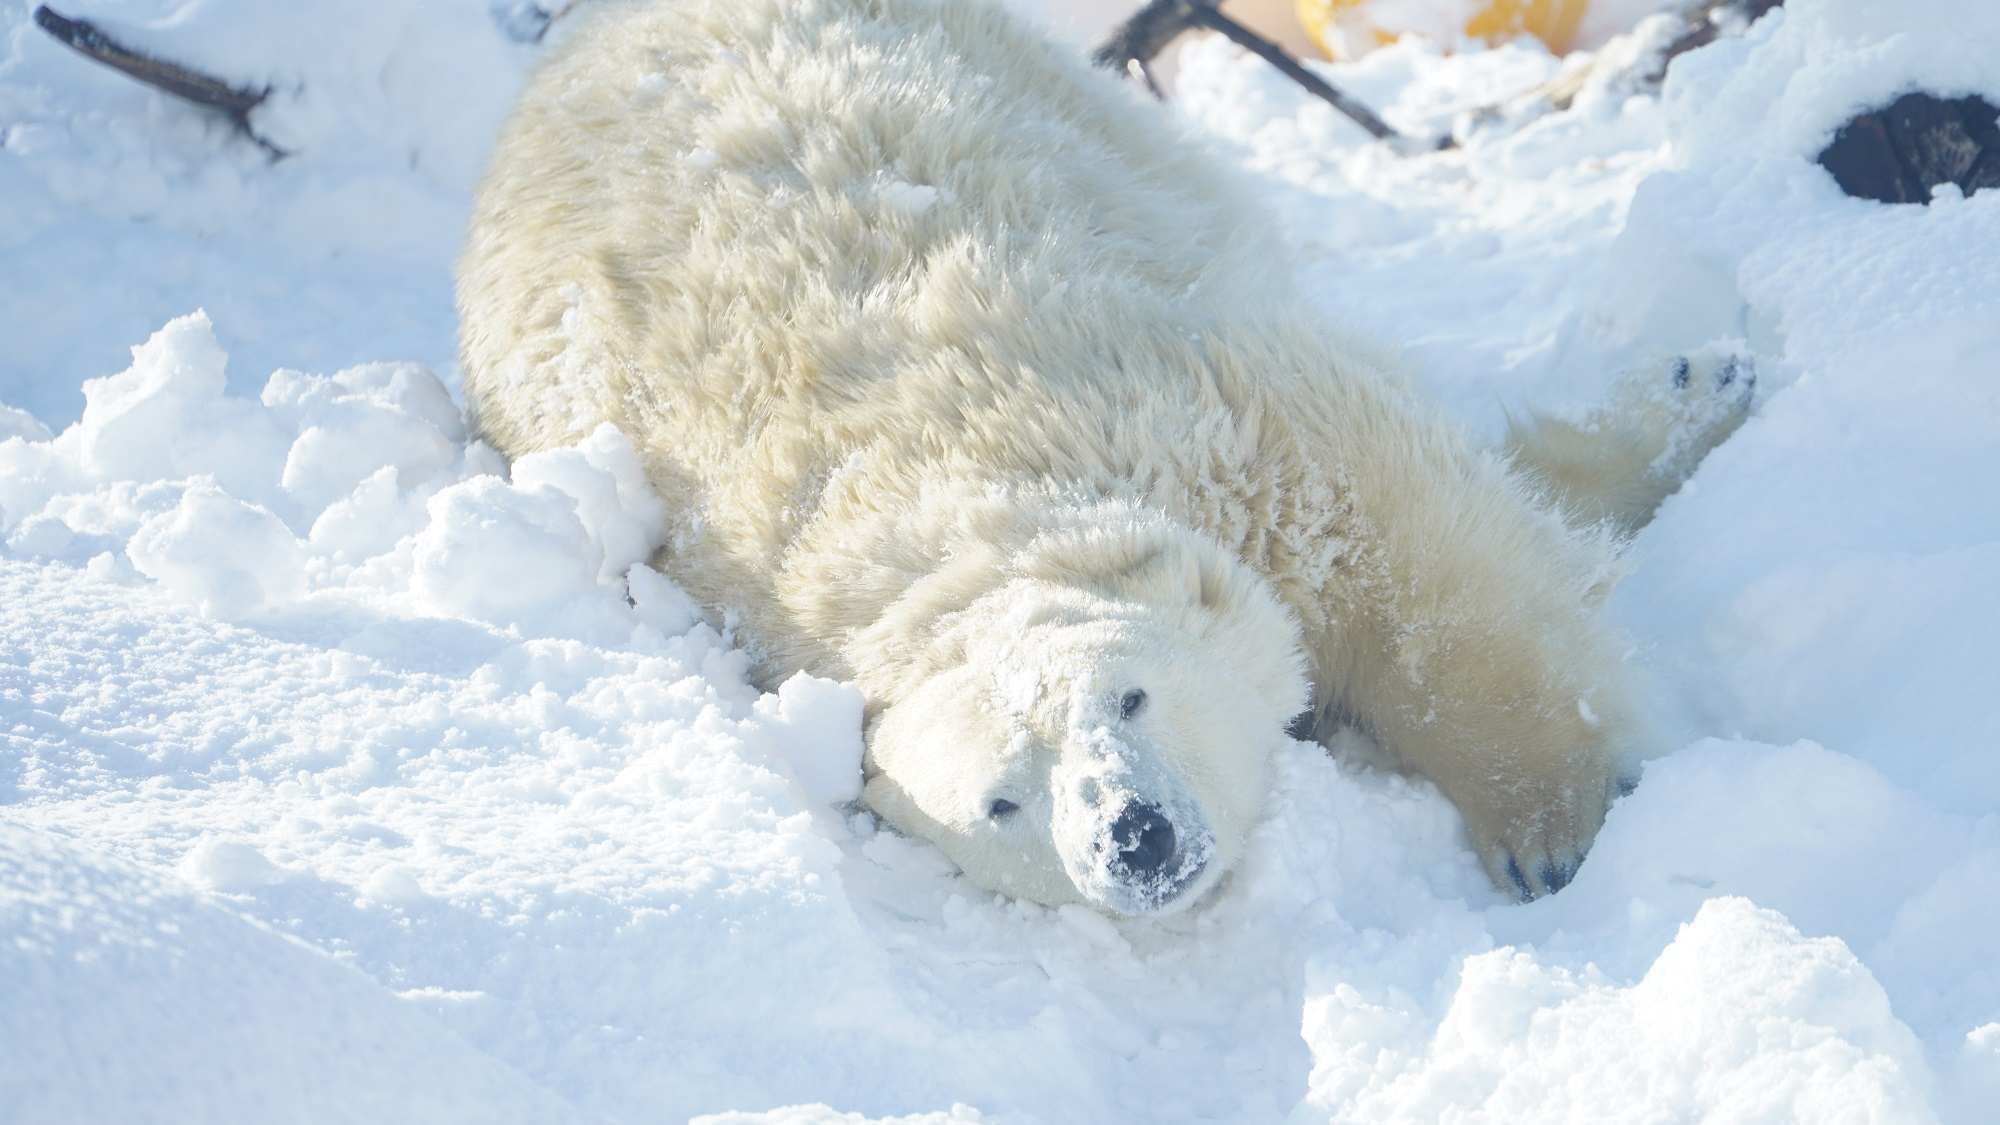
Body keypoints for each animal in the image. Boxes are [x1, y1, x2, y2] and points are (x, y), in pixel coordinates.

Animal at [458, 0, 1752, 912]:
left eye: (1125, 693)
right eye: (999, 802)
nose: (1133, 836)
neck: (950, 494)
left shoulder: (1216, 418)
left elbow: (1434, 568)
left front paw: (1550, 829)